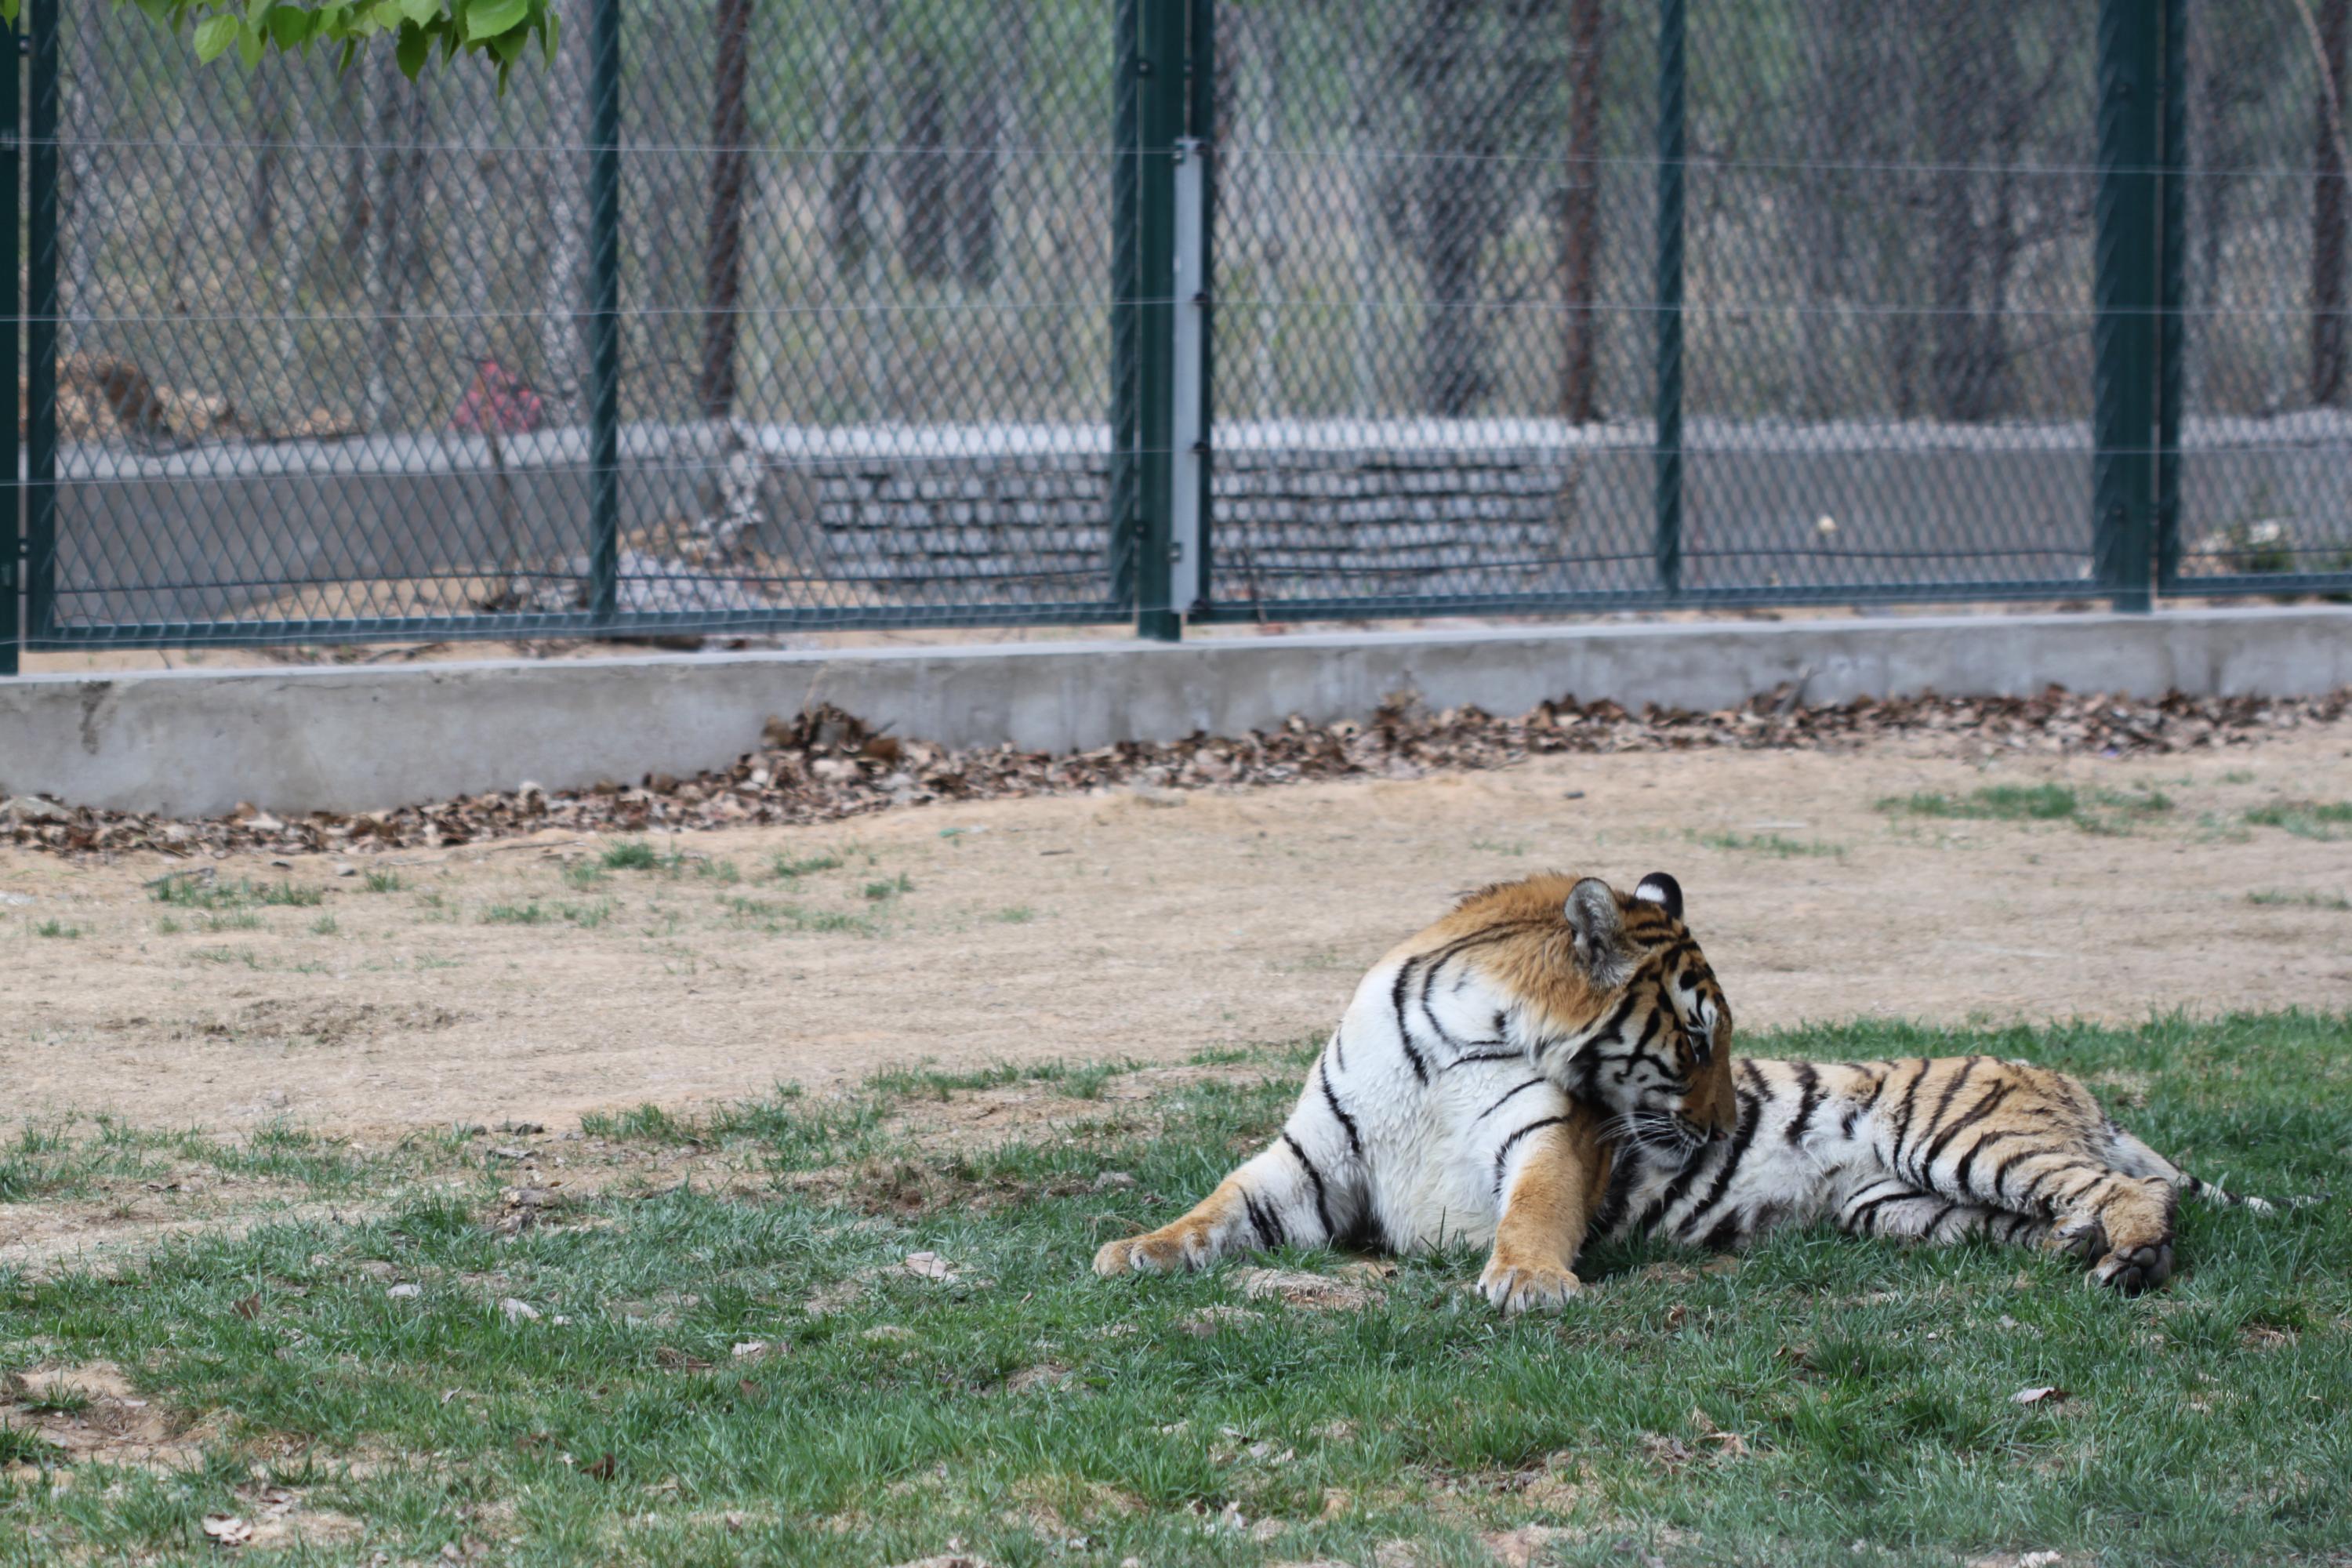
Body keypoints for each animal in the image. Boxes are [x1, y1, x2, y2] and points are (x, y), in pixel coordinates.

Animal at [1091, 869, 1740, 1316]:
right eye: (1696, 1042)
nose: (1726, 1131)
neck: (1456, 1035)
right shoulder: (1313, 1161)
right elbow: (1220, 1204)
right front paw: (1138, 1248)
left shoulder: (1550, 1135)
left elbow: (1539, 1204)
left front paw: (1529, 1278)